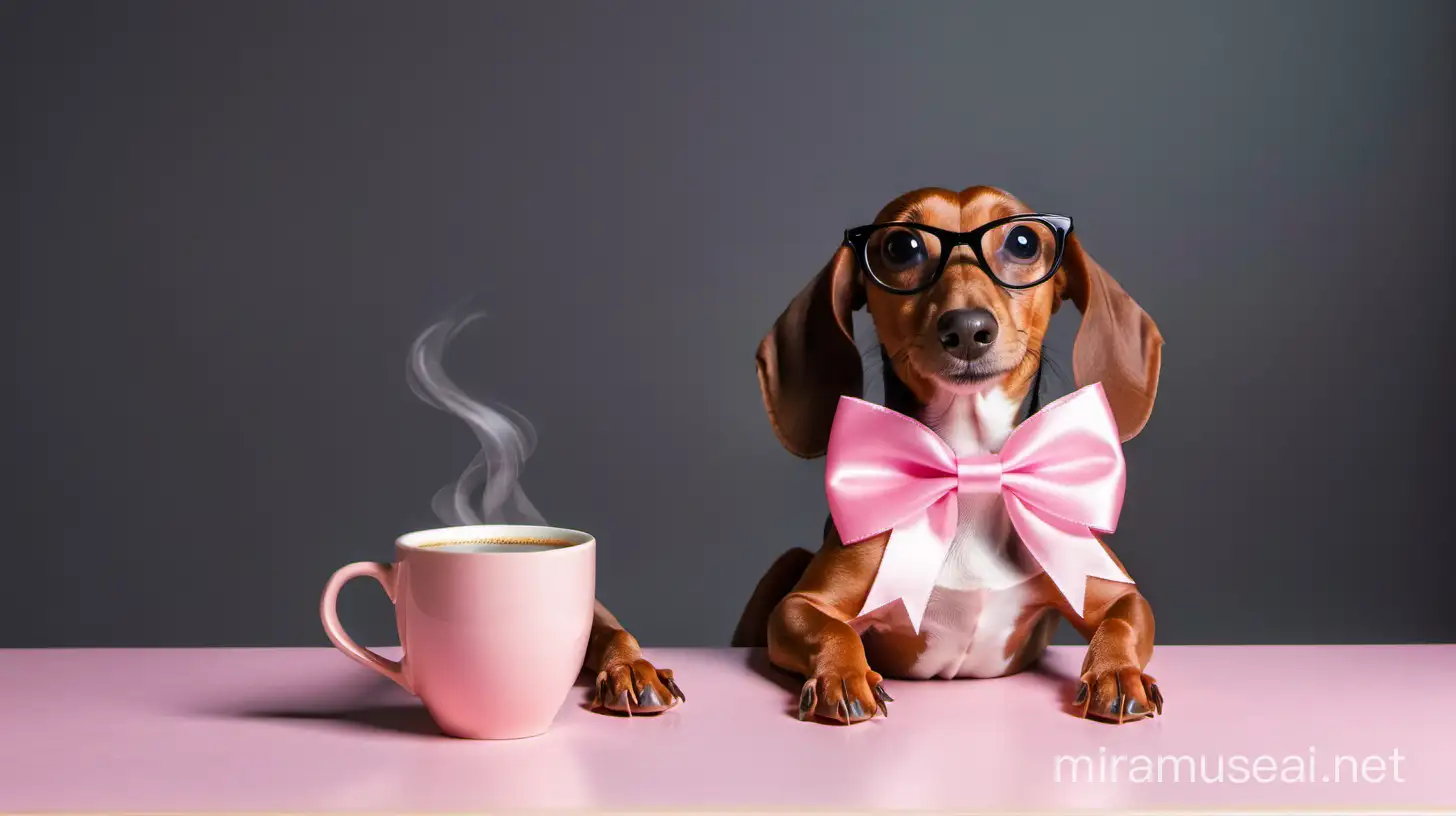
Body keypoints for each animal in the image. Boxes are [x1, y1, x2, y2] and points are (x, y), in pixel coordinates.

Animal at [733, 186, 1164, 725]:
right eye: (900, 247)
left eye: (1023, 241)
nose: (967, 328)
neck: (970, 464)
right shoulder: (798, 607)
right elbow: (831, 627)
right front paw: (842, 676)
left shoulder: (1112, 589)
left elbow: (1122, 622)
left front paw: (1116, 672)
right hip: (787, 562)